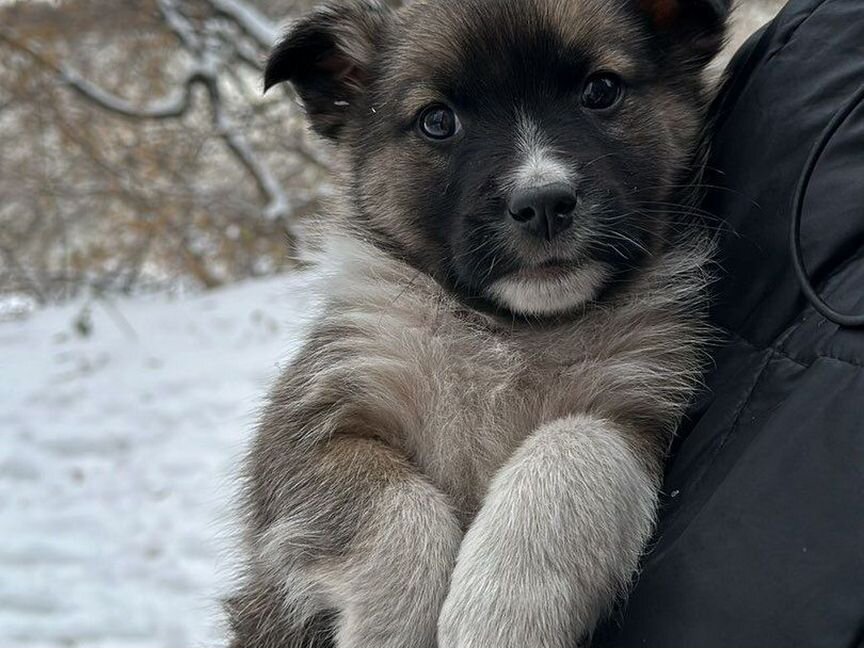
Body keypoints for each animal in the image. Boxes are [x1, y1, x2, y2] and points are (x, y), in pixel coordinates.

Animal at [226, 1, 724, 648]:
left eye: (601, 90)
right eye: (438, 121)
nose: (544, 203)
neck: (508, 330)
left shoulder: (643, 409)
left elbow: (573, 447)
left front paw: (501, 608)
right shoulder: (315, 423)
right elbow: (392, 507)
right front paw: (398, 624)